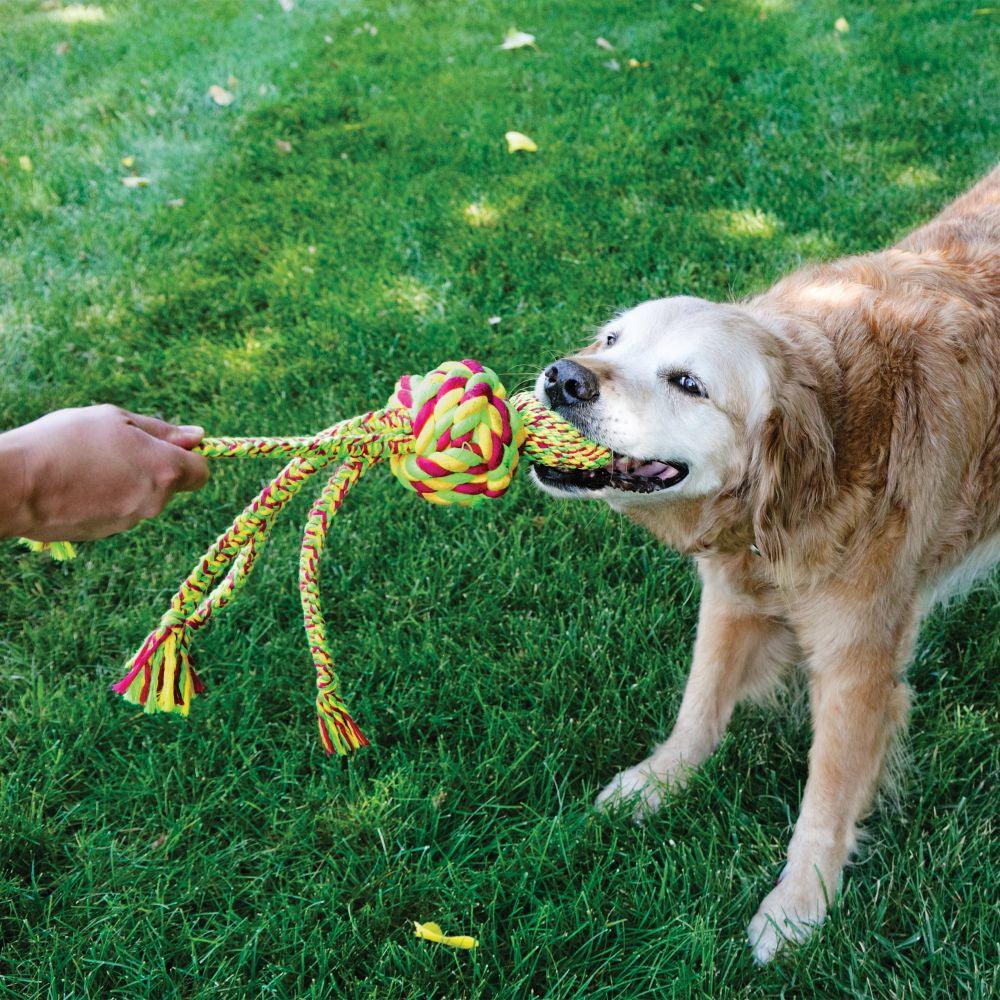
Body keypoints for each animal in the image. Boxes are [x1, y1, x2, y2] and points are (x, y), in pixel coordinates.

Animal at [536, 164, 1000, 960]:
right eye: (612, 339)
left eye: (688, 383)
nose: (564, 377)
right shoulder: (731, 595)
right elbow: (699, 704)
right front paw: (658, 782)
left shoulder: (856, 665)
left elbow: (826, 797)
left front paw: (799, 905)